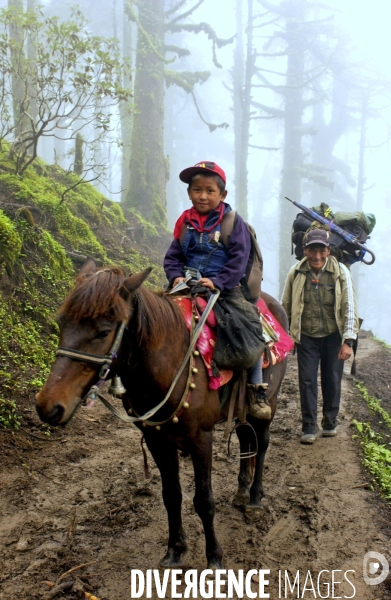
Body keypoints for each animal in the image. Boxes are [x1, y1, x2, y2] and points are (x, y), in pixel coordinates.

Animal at [36, 258, 288, 568]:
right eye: (61, 323)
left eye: (104, 331)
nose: (47, 406)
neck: (170, 363)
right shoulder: (157, 440)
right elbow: (172, 495)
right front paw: (175, 550)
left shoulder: (201, 439)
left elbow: (204, 501)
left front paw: (214, 557)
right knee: (244, 440)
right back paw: (241, 492)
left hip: (270, 402)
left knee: (261, 444)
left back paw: (254, 499)